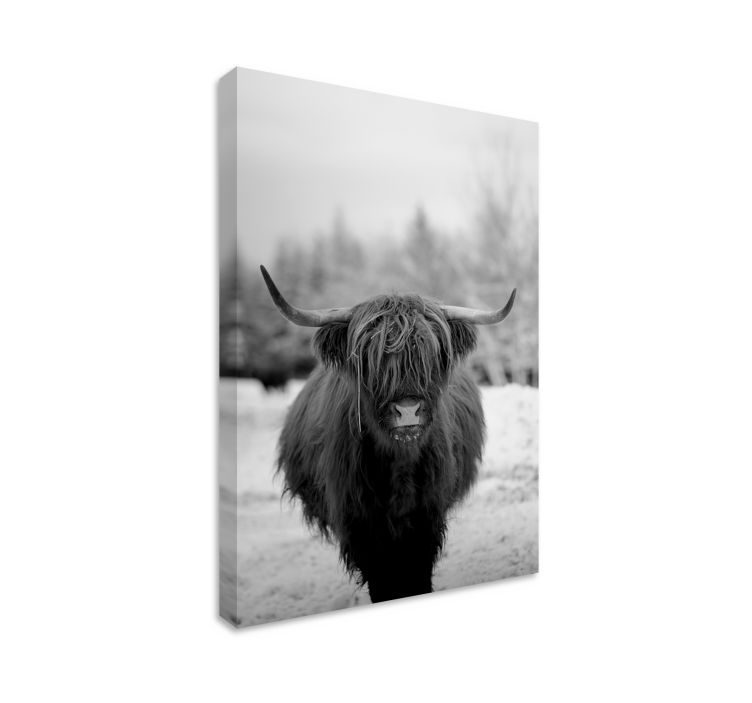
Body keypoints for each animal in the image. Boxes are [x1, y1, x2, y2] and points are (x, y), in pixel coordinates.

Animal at [260, 265, 516, 604]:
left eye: (430, 355)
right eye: (370, 358)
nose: (408, 411)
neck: (399, 465)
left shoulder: (426, 521)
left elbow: (415, 577)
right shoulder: (362, 525)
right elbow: (384, 583)